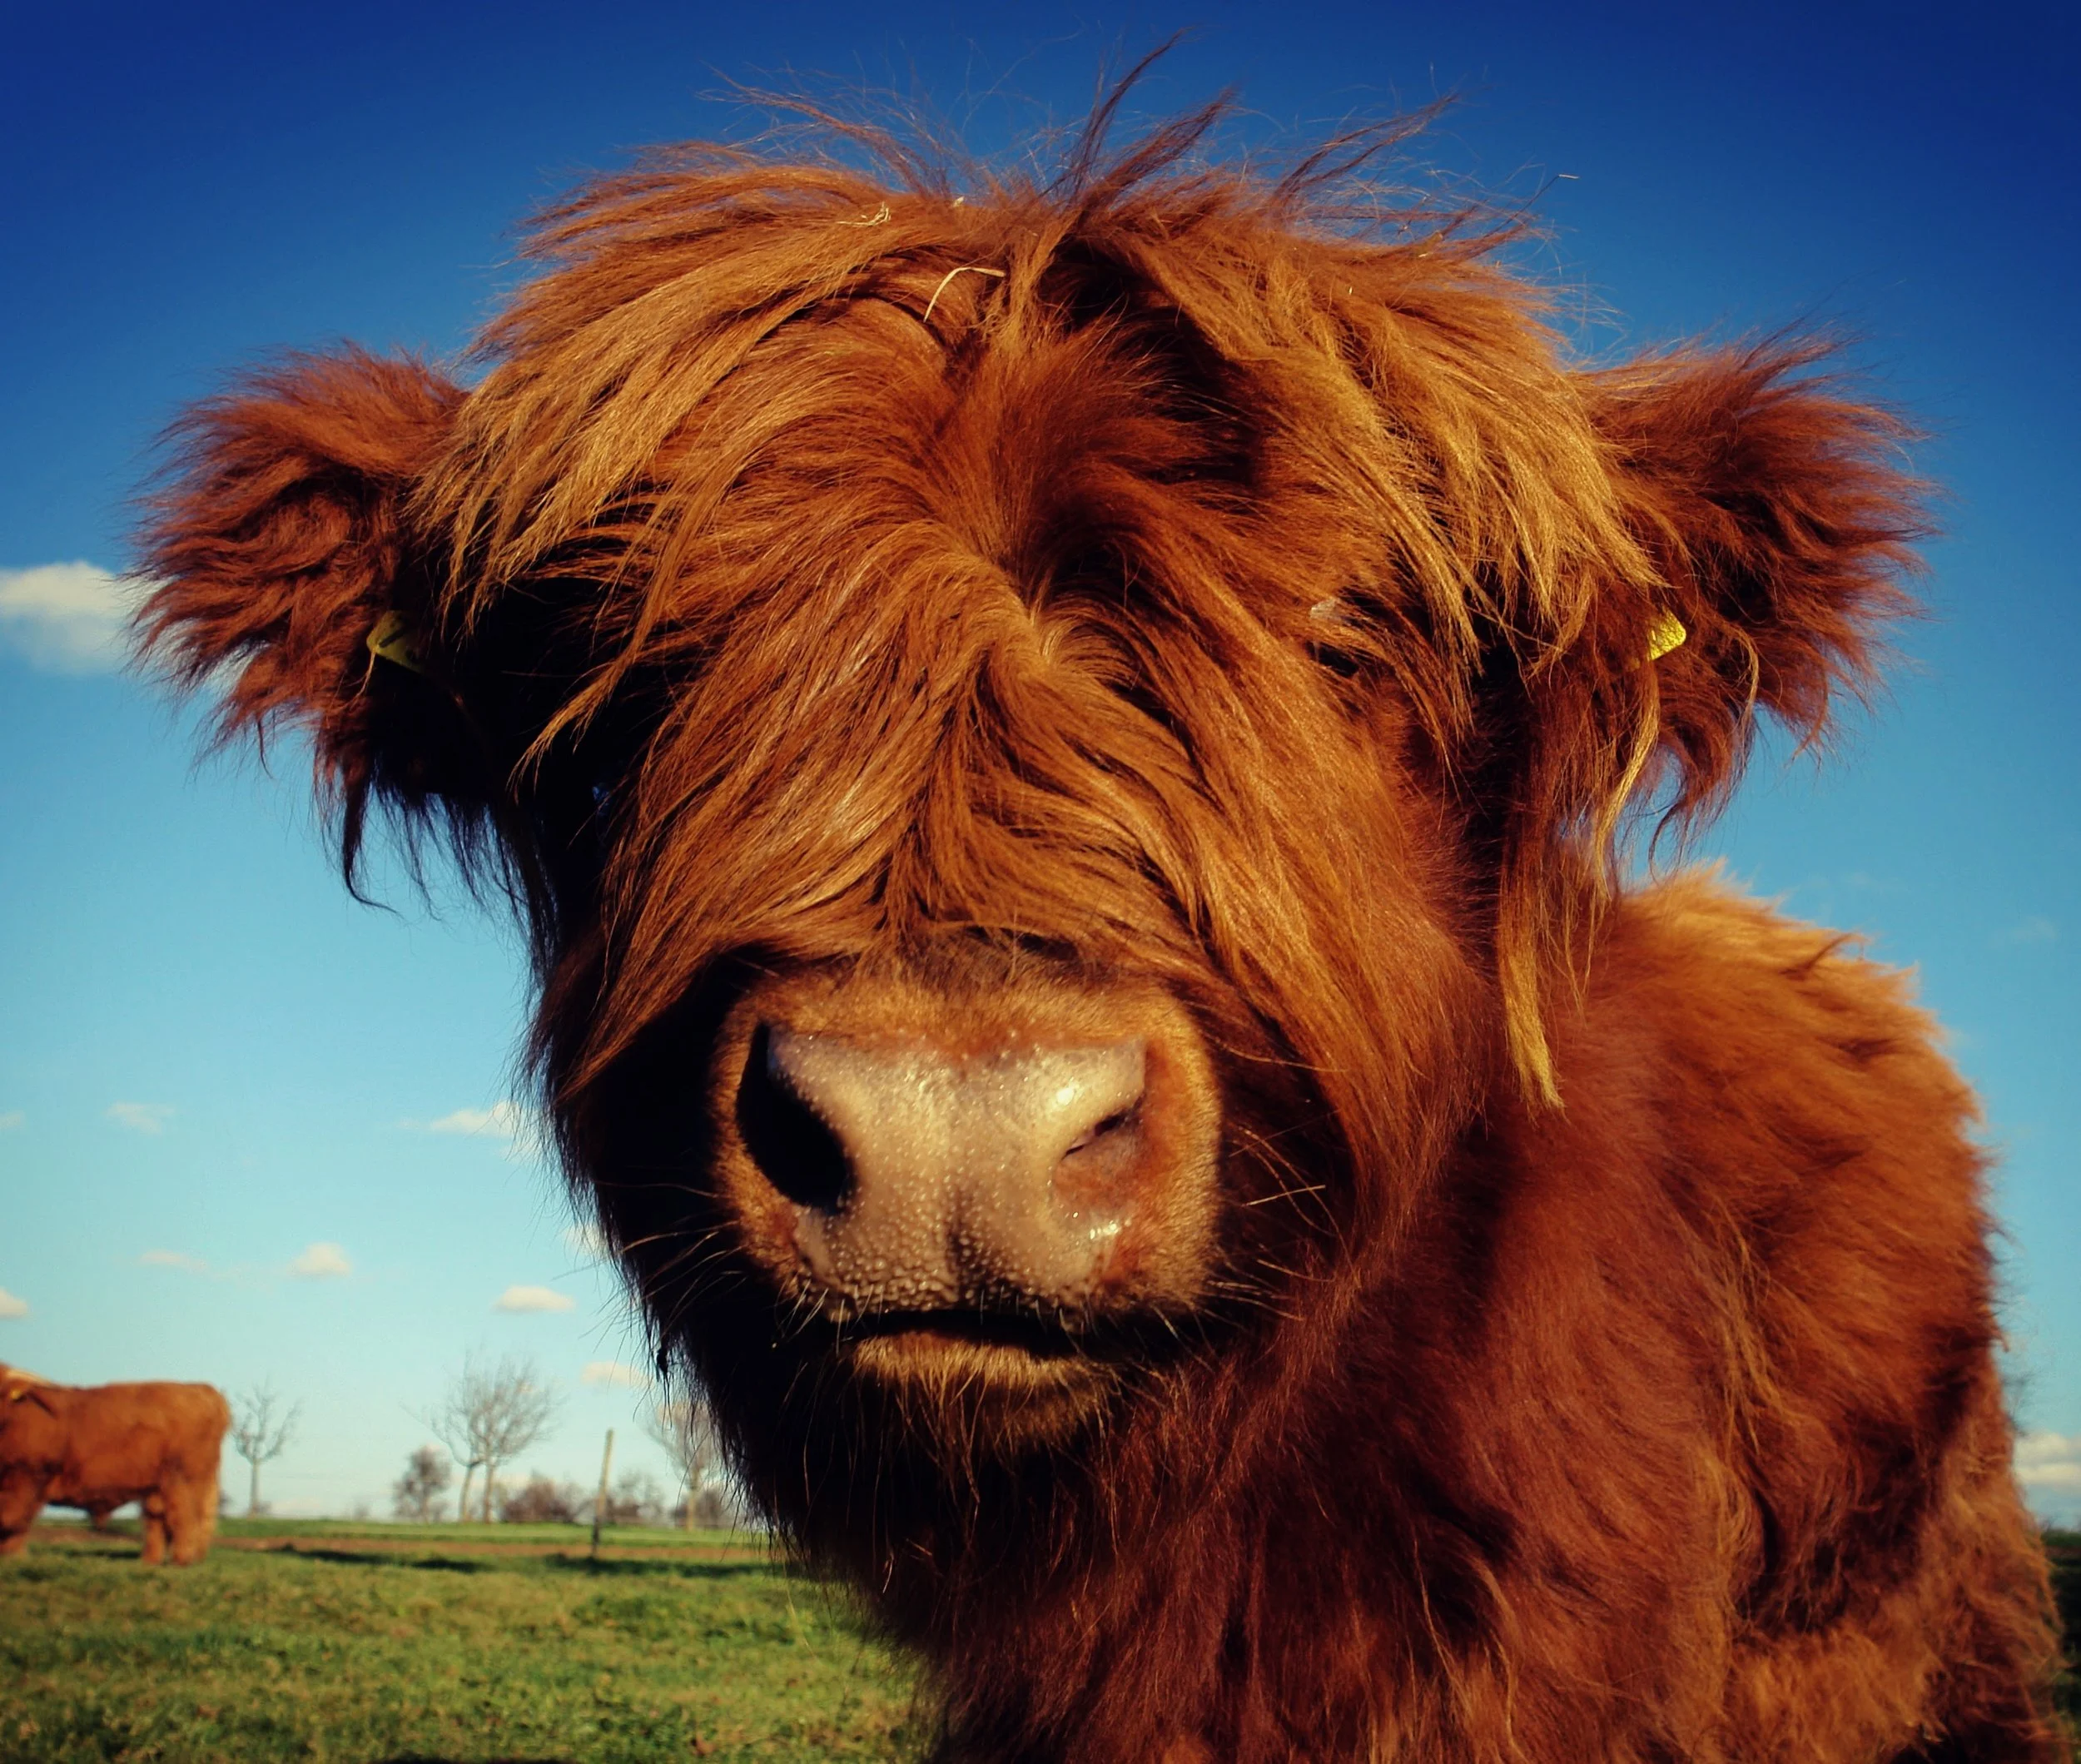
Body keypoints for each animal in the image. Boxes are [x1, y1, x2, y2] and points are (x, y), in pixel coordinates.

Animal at [0, 1363, 230, 1564]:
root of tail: (201, 1389)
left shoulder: (27, 1477)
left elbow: (14, 1519)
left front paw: (14, 1556)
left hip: (183, 1480)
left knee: (184, 1518)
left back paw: (181, 1561)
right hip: (158, 1487)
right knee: (157, 1520)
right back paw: (150, 1561)